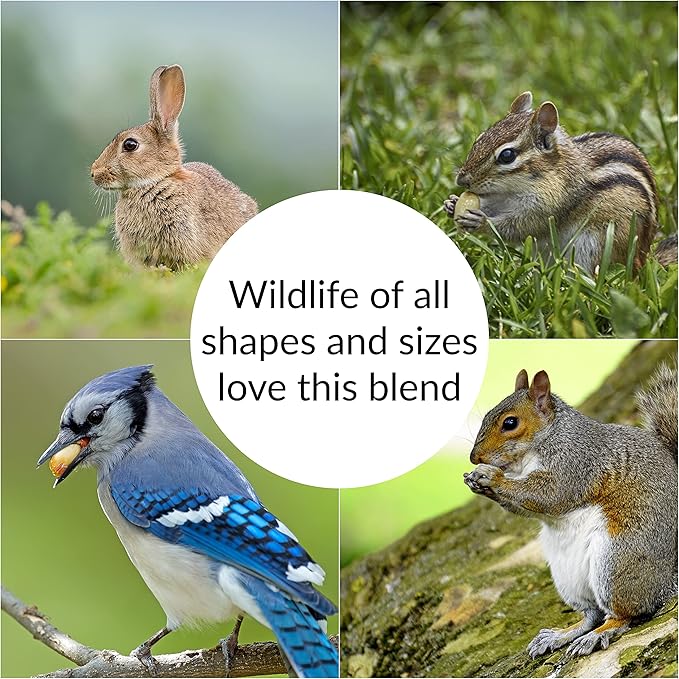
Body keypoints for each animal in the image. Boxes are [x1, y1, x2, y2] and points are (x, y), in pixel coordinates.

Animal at [443, 92, 663, 273]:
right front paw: (451, 203)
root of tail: (643, 259)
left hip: (595, 246)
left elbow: (521, 227)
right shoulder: (500, 200)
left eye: (507, 155)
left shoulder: (551, 206)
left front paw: (481, 222)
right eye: (480, 139)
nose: (462, 180)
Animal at [464, 364, 677, 658]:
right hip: (568, 578)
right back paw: (560, 635)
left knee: (626, 614)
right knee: (591, 614)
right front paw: (478, 480)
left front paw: (492, 477)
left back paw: (598, 635)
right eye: (486, 415)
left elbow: (549, 495)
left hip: (616, 562)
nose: (475, 457)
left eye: (510, 423)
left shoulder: (575, 465)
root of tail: (668, 581)